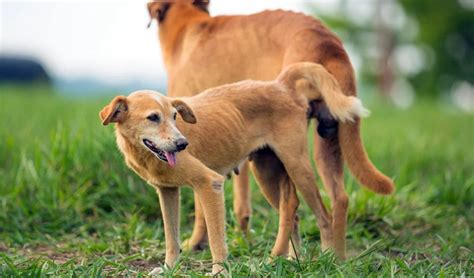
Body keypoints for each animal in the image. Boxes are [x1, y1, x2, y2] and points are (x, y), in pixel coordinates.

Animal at [100, 63, 370, 274]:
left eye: (175, 116)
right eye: (153, 118)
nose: (182, 144)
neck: (145, 154)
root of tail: (281, 85)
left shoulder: (210, 184)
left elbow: (216, 240)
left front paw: (219, 272)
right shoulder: (167, 192)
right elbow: (171, 237)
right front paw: (170, 268)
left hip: (297, 165)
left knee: (323, 215)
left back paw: (327, 258)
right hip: (266, 172)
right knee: (291, 209)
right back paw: (291, 260)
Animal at [146, 0, 394, 260]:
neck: (189, 25)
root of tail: (327, 41)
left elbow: (201, 205)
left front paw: (196, 243)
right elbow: (241, 203)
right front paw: (241, 238)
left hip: (289, 156)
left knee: (293, 204)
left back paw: (284, 255)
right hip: (325, 142)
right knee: (338, 199)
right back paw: (333, 258)